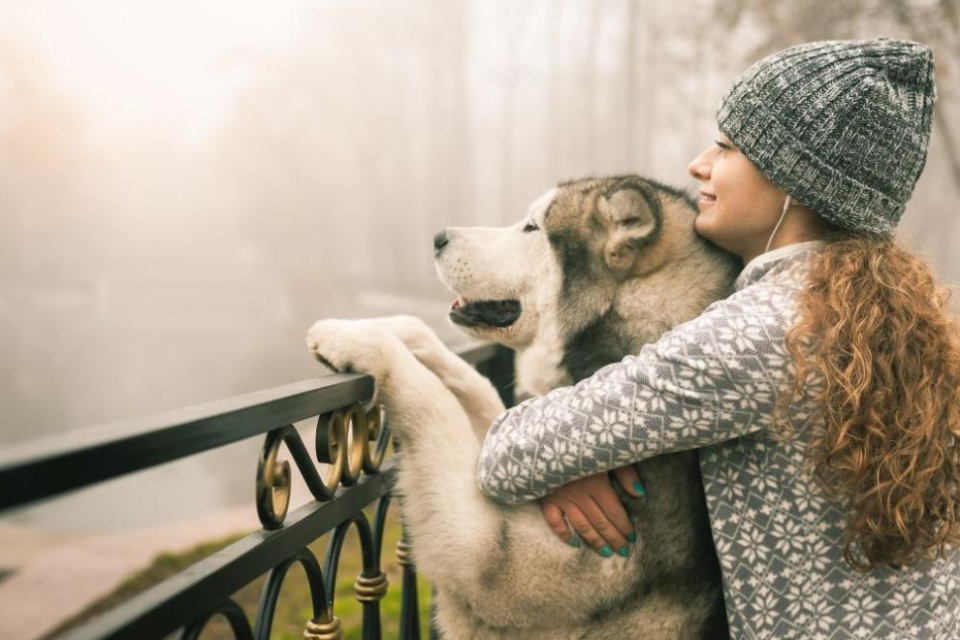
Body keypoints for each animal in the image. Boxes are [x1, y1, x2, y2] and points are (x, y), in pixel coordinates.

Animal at [310, 172, 744, 636]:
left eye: (532, 227)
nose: (438, 237)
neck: (630, 339)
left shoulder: (492, 560)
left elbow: (434, 404)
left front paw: (354, 339)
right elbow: (477, 387)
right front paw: (391, 325)